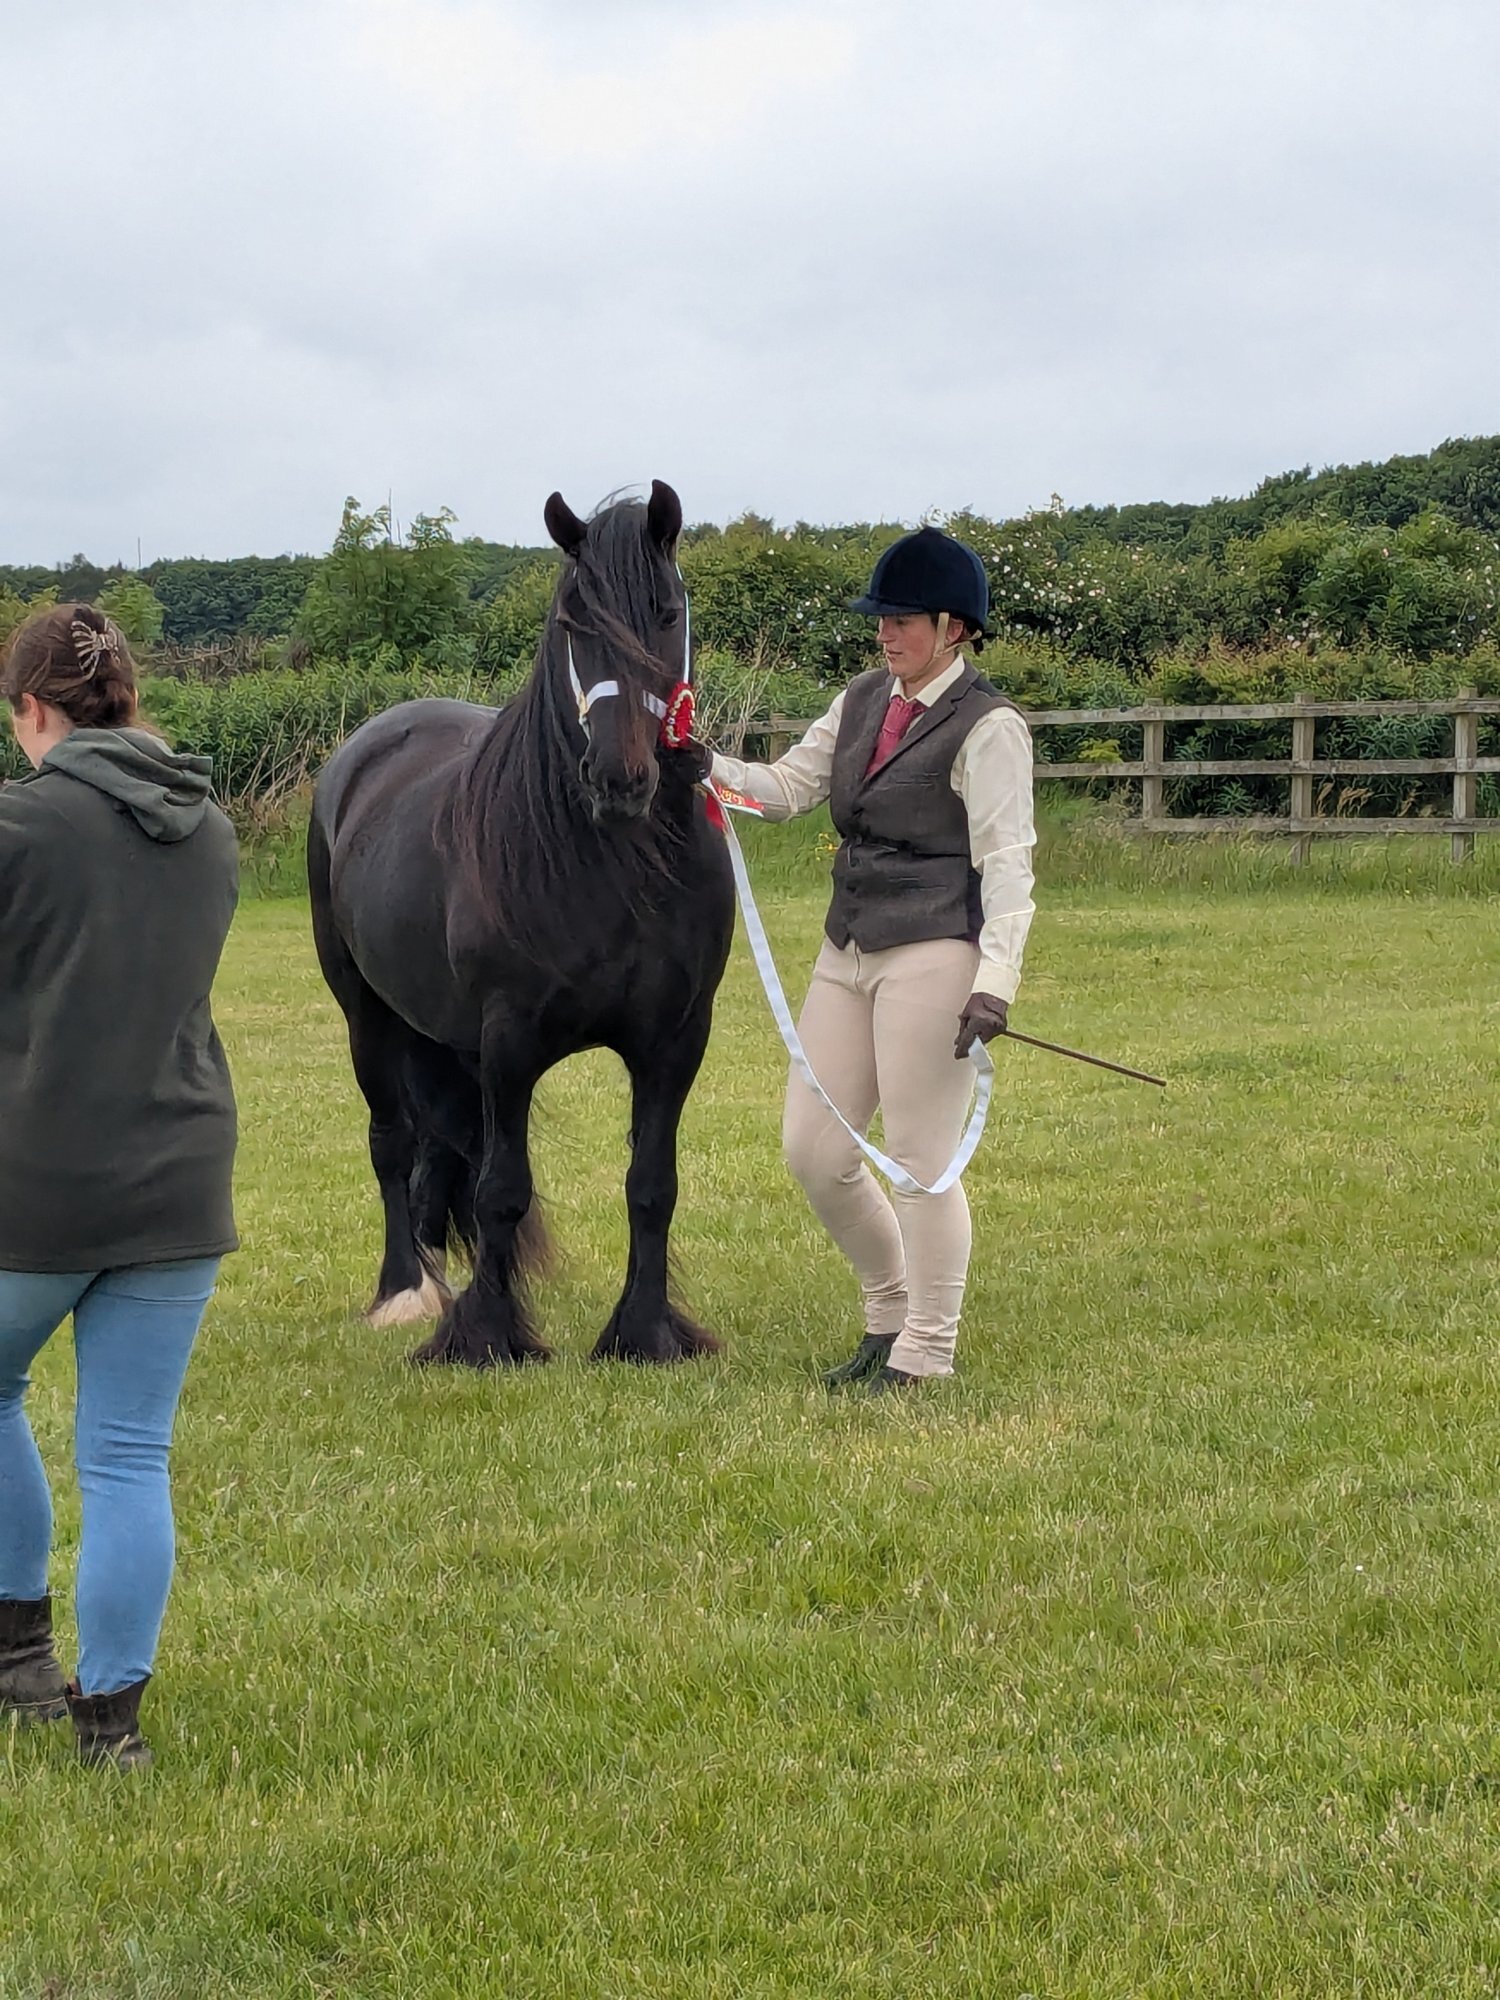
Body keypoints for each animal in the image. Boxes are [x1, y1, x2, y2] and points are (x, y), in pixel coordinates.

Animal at [307, 480, 735, 1367]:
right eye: (573, 623)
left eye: (668, 610)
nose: (620, 779)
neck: (619, 869)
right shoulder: (507, 1043)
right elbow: (503, 1189)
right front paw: (488, 1338)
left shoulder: (676, 1042)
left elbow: (652, 1186)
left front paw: (646, 1333)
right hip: (369, 1016)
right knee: (392, 1142)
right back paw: (405, 1292)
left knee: (438, 1152)